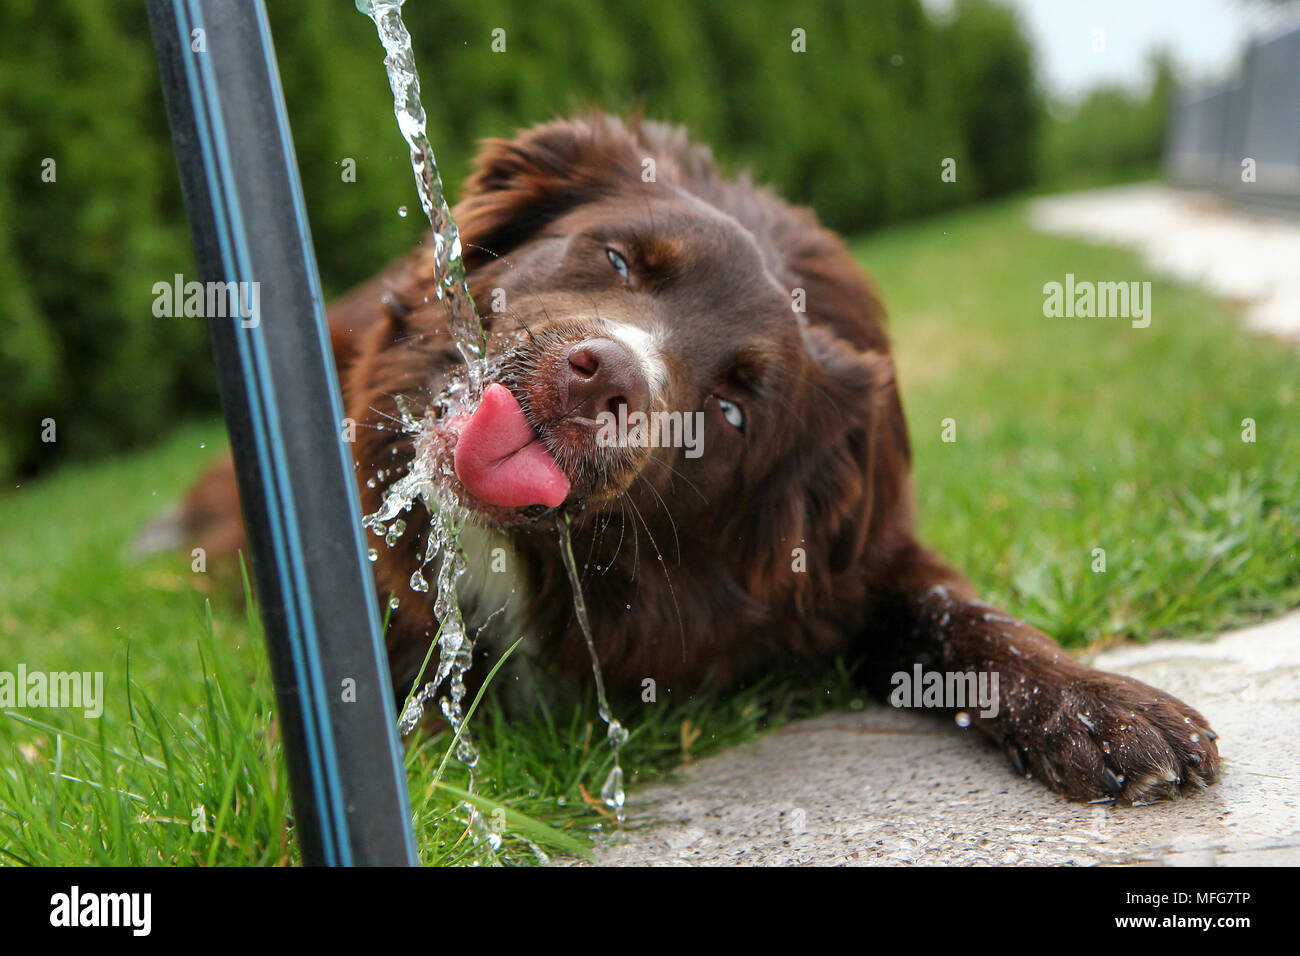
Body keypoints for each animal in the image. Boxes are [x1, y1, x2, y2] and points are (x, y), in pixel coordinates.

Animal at [183, 111, 1216, 806]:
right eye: (619, 260)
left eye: (728, 409)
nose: (603, 381)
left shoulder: (855, 561)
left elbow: (967, 617)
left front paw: (1100, 707)